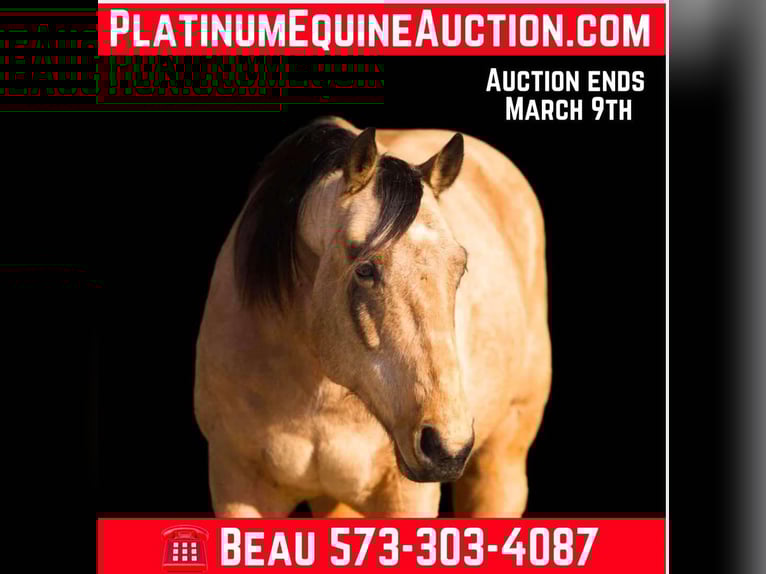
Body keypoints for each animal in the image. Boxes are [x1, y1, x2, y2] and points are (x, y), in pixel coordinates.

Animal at [194, 117, 551, 518]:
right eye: (365, 270)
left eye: (459, 268)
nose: (446, 447)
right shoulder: (237, 486)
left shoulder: (407, 496)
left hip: (501, 464)